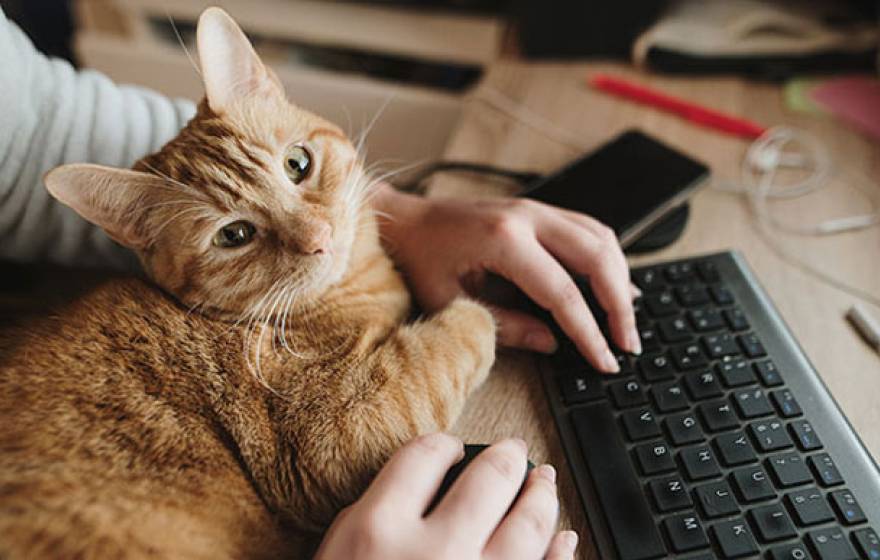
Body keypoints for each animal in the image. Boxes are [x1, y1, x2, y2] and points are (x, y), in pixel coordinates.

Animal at [0, 8, 496, 560]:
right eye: (234, 235)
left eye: (298, 163)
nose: (318, 237)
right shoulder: (337, 431)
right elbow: (441, 350)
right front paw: (474, 310)